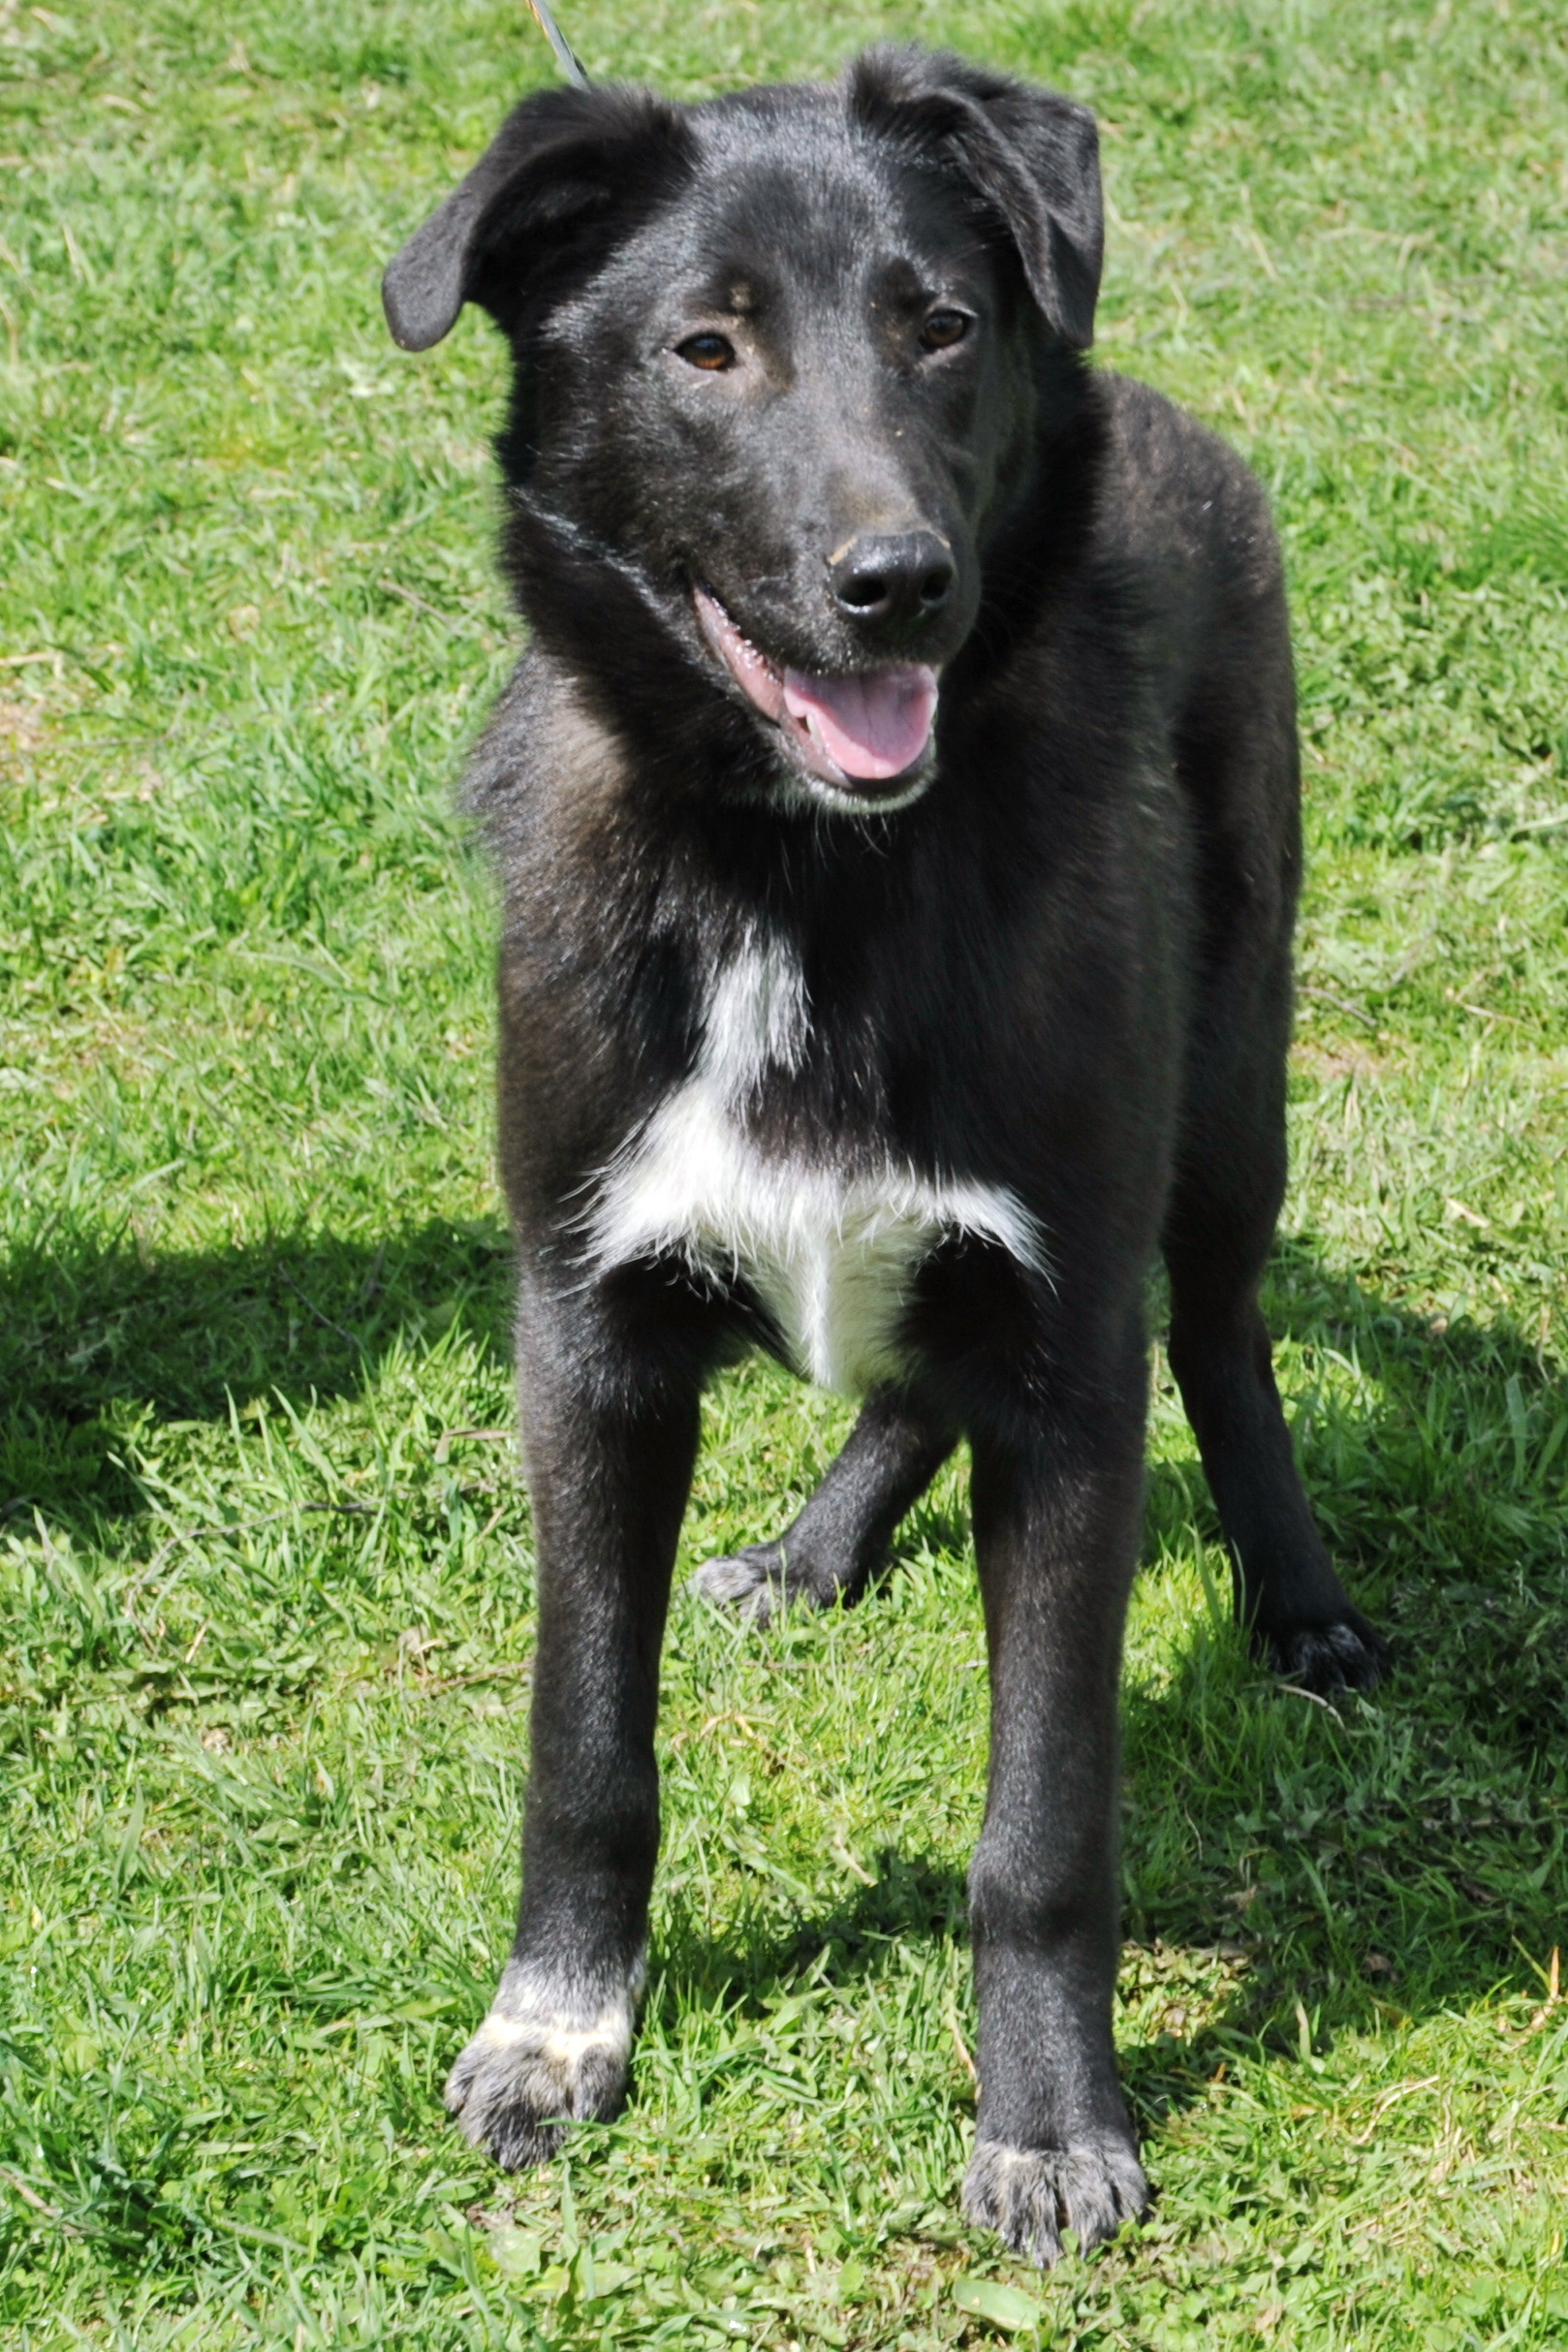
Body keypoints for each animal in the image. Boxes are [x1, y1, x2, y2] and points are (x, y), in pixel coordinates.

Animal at [383, 50, 1382, 2257]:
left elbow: (1041, 1824)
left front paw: (1049, 2123)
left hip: (1225, 1103)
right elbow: (584, 1742)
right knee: (912, 1382)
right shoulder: (585, 1330)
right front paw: (557, 2028)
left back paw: (1298, 1599)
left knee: (1224, 1336)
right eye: (705, 347)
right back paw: (819, 1544)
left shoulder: (1070, 1347)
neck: (799, 870)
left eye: (938, 324)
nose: (894, 583)